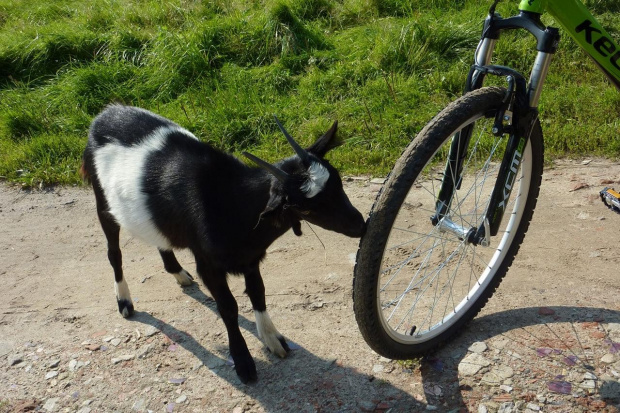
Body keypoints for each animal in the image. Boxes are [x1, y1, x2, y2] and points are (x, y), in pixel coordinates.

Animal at [80, 104, 366, 382]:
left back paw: (178, 273)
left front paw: (274, 340)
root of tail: (103, 115)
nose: (360, 225)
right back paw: (125, 301)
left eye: (338, 181)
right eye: (305, 208)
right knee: (114, 252)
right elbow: (228, 308)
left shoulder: (250, 257)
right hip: (103, 203)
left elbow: (258, 293)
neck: (230, 203)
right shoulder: (209, 265)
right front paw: (243, 363)